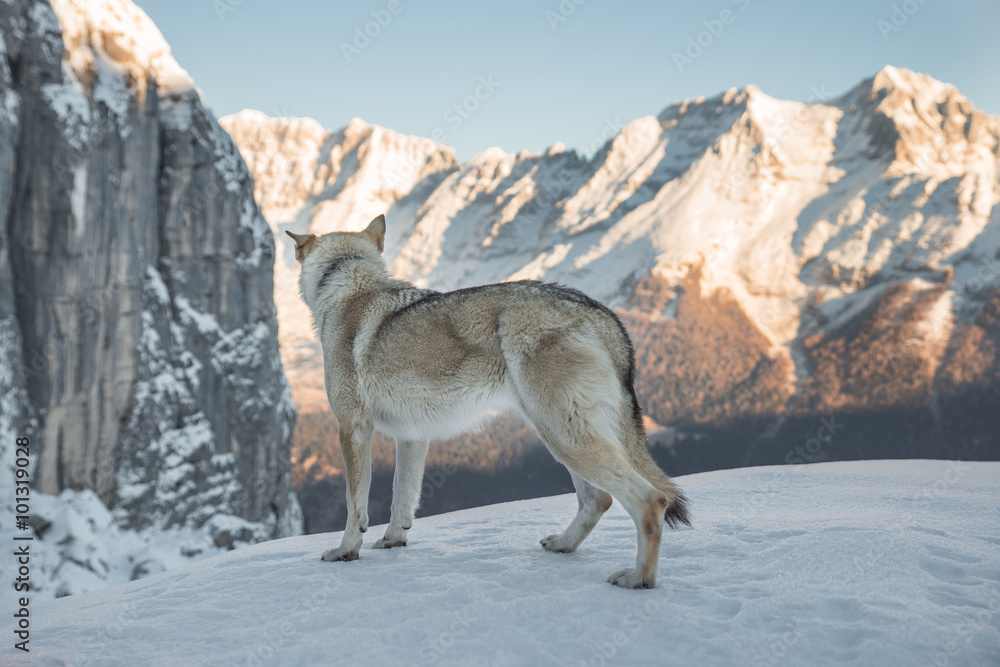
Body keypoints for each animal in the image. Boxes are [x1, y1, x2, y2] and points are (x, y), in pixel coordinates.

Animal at [288, 215, 690, 588]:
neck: (348, 283)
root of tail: (598, 311)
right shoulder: (413, 437)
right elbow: (402, 498)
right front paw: (392, 542)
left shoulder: (352, 428)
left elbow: (355, 505)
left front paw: (345, 552)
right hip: (560, 435)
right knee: (599, 499)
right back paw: (563, 545)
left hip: (562, 435)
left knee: (650, 500)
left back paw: (638, 578)